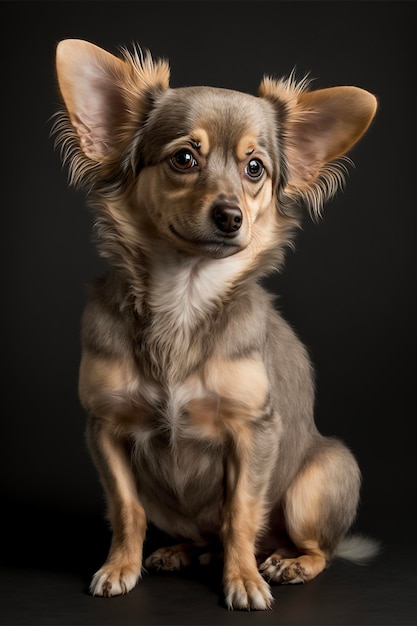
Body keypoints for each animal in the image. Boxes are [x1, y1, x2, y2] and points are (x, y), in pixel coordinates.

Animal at [53, 36, 378, 608]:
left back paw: (287, 563)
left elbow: (240, 513)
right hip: (169, 502)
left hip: (321, 479)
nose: (231, 216)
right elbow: (126, 509)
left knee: (318, 548)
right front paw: (120, 567)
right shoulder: (105, 430)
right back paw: (183, 552)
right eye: (184, 158)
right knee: (200, 533)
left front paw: (243, 579)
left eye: (255, 169)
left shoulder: (254, 432)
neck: (184, 296)